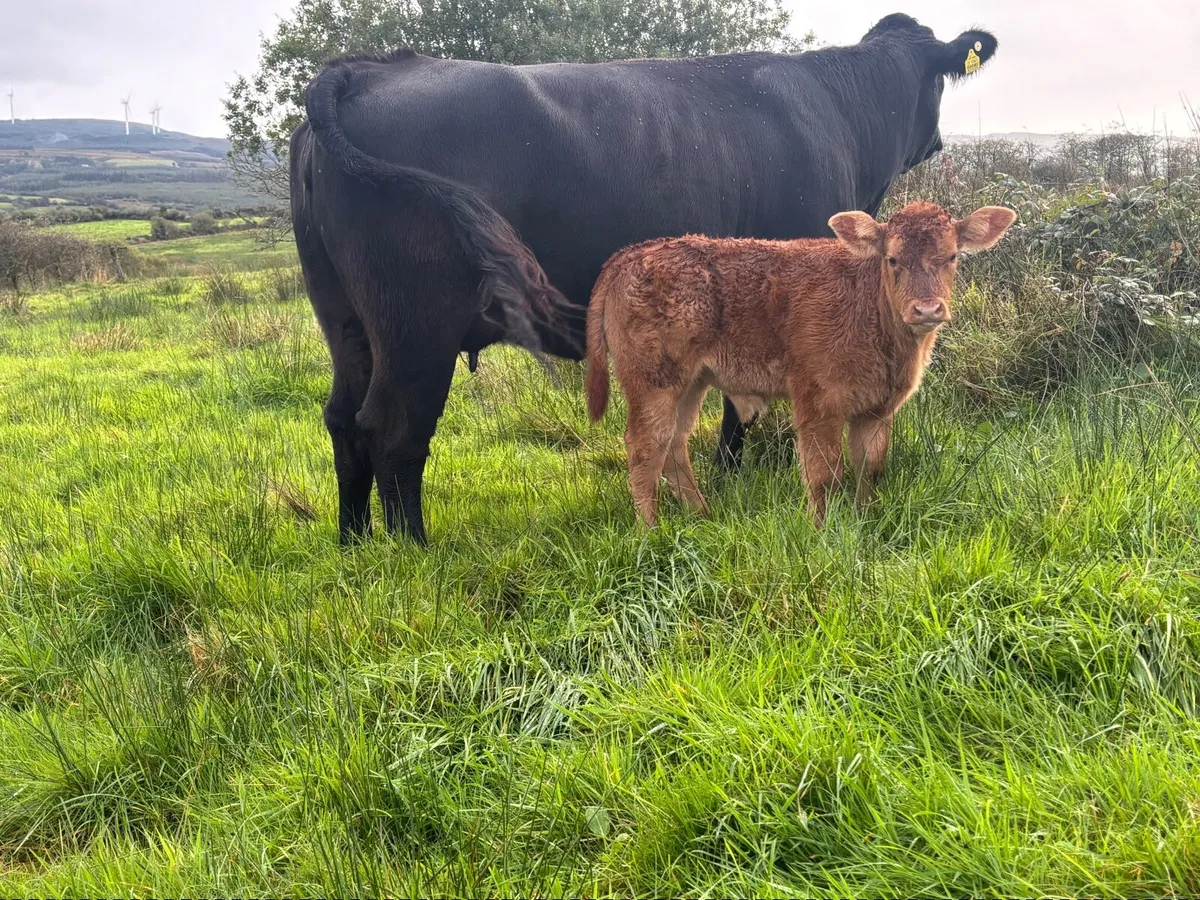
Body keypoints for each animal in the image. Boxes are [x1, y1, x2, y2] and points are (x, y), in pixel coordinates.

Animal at [584, 202, 1017, 527]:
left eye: (952, 257)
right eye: (893, 259)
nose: (927, 309)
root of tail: (634, 253)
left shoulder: (877, 409)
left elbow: (870, 469)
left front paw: (866, 519)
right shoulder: (818, 403)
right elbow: (824, 473)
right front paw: (821, 529)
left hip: (692, 382)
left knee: (673, 445)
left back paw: (703, 515)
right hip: (654, 381)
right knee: (645, 448)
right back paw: (650, 530)